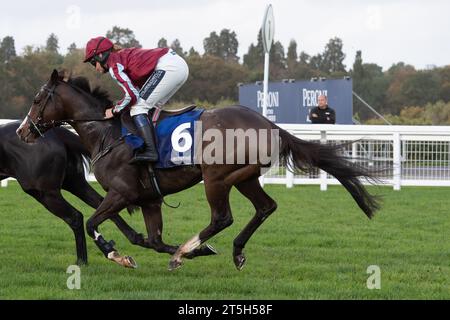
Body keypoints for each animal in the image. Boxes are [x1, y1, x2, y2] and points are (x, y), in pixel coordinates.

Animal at [15, 70, 380, 270]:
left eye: (37, 99)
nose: (21, 131)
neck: (108, 133)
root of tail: (267, 123)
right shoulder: (148, 199)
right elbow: (151, 240)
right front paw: (196, 251)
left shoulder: (123, 192)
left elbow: (93, 223)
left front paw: (119, 255)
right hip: (245, 178)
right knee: (266, 207)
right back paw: (231, 251)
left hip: (215, 177)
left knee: (222, 217)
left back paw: (186, 251)